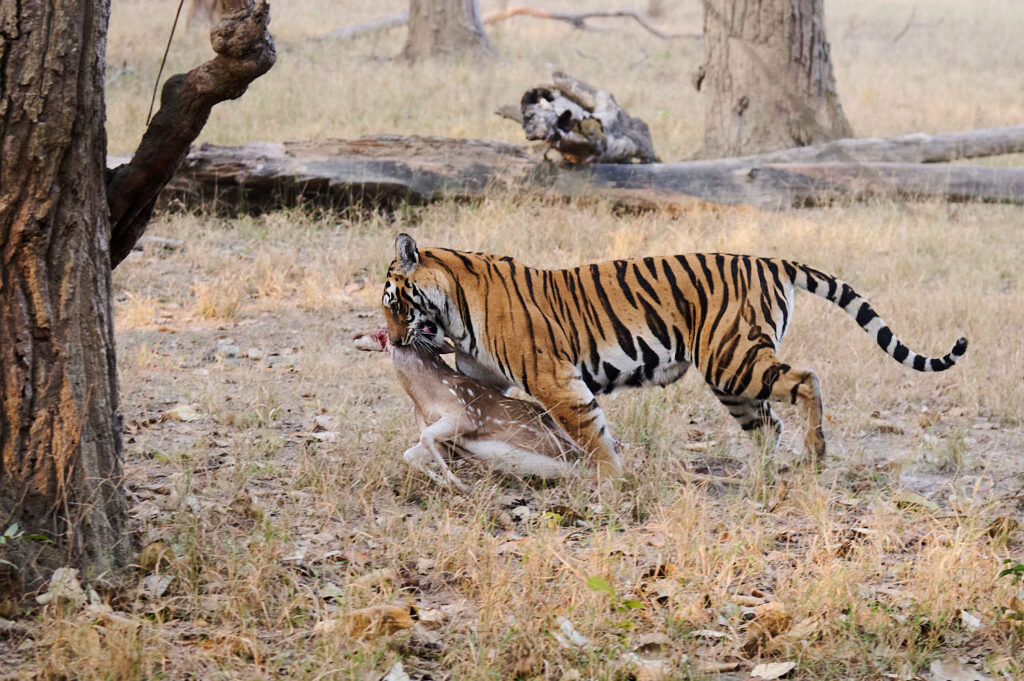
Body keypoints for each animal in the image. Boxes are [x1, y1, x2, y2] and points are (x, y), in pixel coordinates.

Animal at [353, 327, 588, 491]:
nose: (356, 336)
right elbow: (409, 453)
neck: (424, 400)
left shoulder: (466, 415)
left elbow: (425, 436)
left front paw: (458, 484)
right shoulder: (448, 443)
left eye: (381, 330)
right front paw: (446, 482)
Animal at [381, 233, 968, 478]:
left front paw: (609, 483)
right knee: (769, 424)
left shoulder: (556, 380)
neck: (457, 309)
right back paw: (758, 478)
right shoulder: (485, 376)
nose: (389, 337)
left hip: (735, 360)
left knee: (807, 380)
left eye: (391, 302)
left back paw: (817, 452)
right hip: (732, 380)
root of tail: (769, 260)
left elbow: (591, 435)